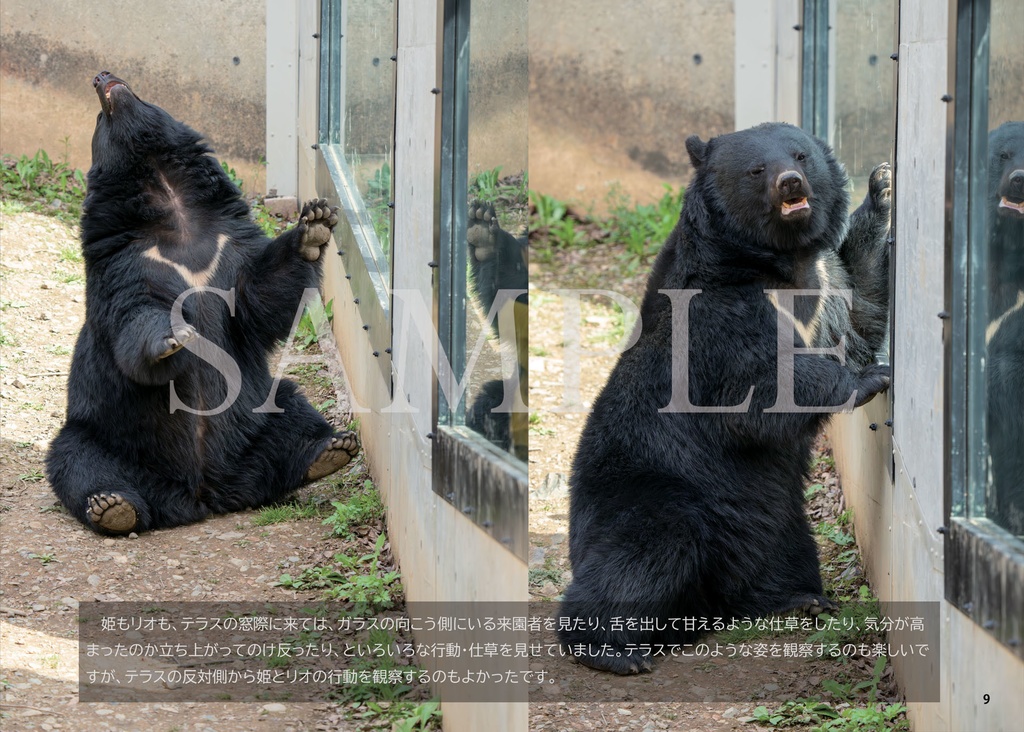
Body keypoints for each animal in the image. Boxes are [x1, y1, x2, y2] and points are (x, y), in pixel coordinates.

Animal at [45, 71, 360, 536]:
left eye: (134, 90)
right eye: (99, 117)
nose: (102, 76)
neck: (169, 201)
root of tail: (201, 495)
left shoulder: (228, 247)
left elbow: (259, 298)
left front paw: (316, 224)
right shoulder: (123, 262)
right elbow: (133, 316)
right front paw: (174, 336)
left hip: (258, 413)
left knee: (292, 410)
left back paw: (328, 449)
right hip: (105, 433)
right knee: (76, 461)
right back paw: (113, 506)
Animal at [557, 122, 892, 675]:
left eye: (800, 154)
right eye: (756, 169)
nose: (791, 183)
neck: (774, 263)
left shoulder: (826, 287)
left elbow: (861, 311)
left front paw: (883, 188)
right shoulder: (716, 318)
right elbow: (756, 389)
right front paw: (869, 378)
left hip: (773, 518)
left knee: (773, 552)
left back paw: (796, 597)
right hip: (651, 492)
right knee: (642, 555)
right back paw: (611, 648)